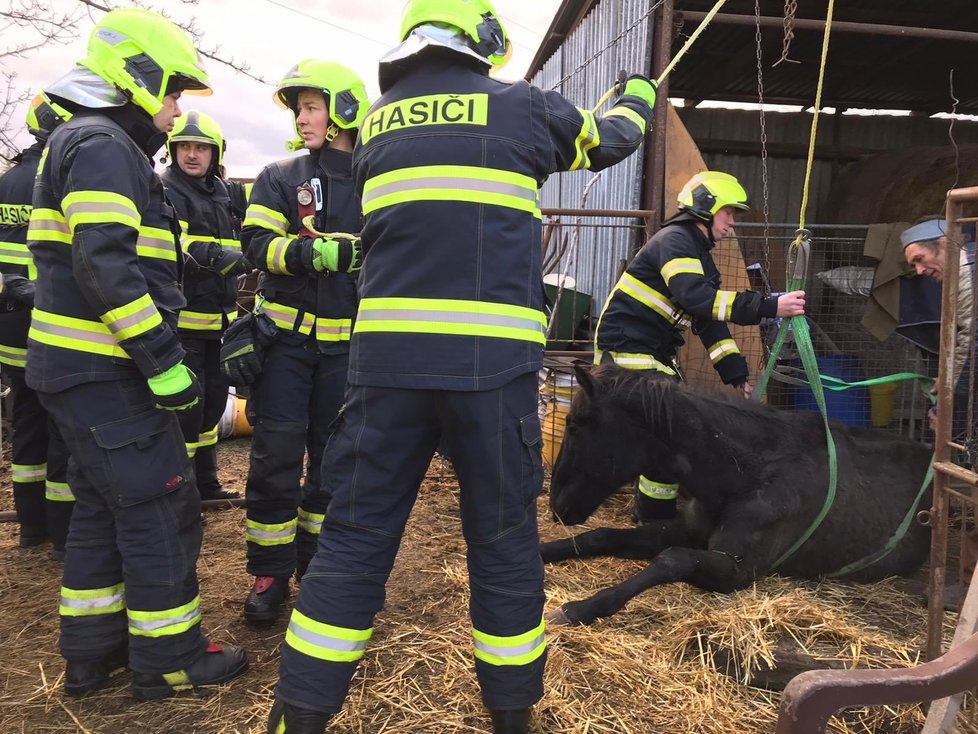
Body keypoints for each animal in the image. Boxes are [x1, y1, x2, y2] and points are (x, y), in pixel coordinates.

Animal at [540, 366, 932, 628]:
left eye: (575, 424)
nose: (557, 506)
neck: (747, 472)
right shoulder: (683, 530)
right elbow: (599, 536)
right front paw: (542, 553)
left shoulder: (736, 571)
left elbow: (671, 560)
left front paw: (580, 608)